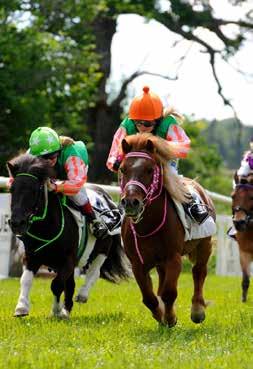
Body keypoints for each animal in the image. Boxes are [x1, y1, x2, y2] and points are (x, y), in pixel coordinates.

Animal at [6, 154, 129, 318]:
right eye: (12, 189)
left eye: (34, 190)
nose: (16, 223)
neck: (47, 227)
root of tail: (110, 200)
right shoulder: (32, 256)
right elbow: (26, 280)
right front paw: (21, 307)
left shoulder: (68, 259)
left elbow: (56, 284)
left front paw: (55, 310)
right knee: (71, 284)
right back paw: (66, 310)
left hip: (103, 248)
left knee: (94, 271)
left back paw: (82, 295)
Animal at [119, 134, 215, 324]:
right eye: (123, 169)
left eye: (149, 170)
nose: (131, 202)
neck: (149, 226)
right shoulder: (137, 264)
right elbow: (149, 298)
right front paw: (161, 315)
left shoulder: (173, 257)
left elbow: (169, 293)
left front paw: (170, 318)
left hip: (204, 245)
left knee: (199, 271)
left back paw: (198, 309)